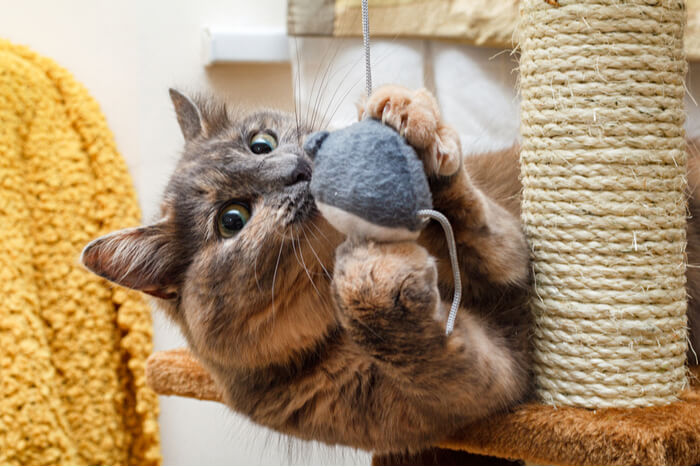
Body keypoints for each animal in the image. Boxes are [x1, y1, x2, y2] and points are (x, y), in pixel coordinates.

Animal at [79, 84, 700, 454]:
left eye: (260, 143)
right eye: (231, 220)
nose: (297, 170)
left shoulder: (514, 253)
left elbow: (485, 230)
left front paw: (408, 120)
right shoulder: (476, 384)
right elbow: (413, 335)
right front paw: (370, 278)